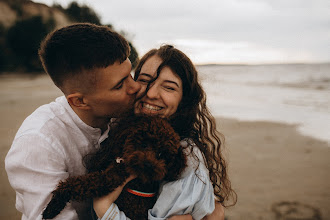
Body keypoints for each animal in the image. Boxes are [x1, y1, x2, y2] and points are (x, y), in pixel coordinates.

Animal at [42, 116, 186, 219]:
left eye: (161, 154)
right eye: (144, 144)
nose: (148, 164)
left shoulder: (109, 178)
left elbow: (79, 184)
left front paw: (53, 205)